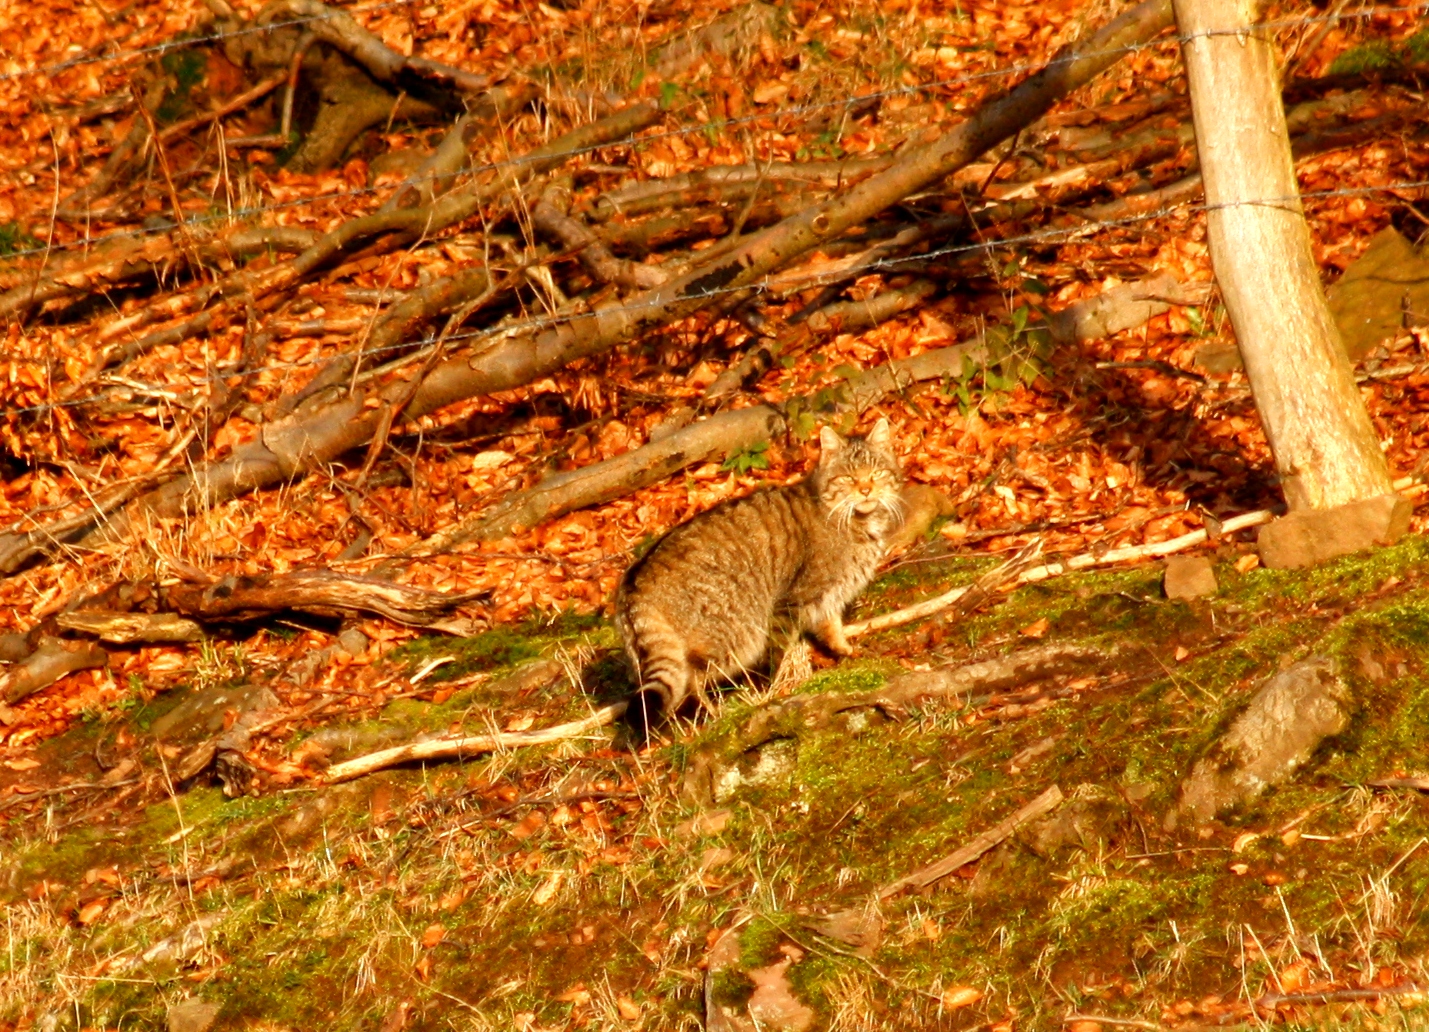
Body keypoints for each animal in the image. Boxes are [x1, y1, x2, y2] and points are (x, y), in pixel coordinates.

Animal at [614, 417, 903, 723]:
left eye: (876, 473)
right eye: (848, 477)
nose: (866, 490)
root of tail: (635, 579)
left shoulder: (829, 596)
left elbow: (832, 628)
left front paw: (845, 651)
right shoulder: (794, 600)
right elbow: (777, 650)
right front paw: (769, 690)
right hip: (728, 635)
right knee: (692, 680)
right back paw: (712, 714)